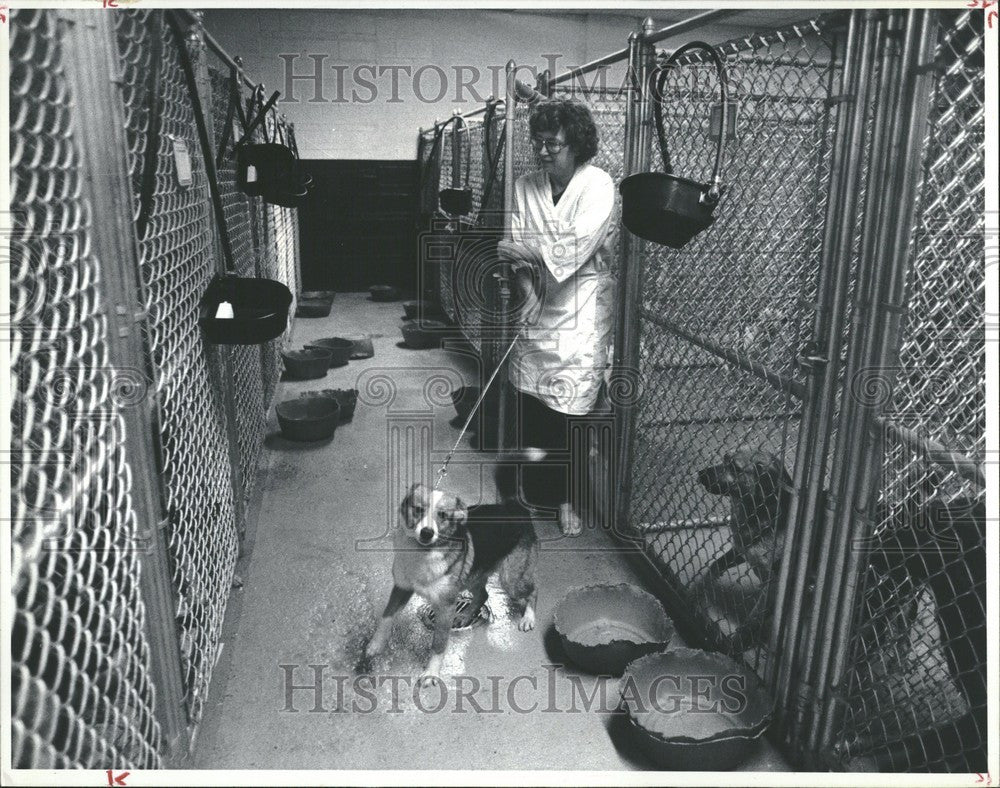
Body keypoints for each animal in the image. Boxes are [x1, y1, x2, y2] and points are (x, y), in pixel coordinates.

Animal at [364, 478, 540, 688]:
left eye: (443, 515)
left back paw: (528, 618)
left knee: (533, 591)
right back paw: (465, 616)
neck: (423, 553)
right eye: (418, 509)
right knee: (484, 594)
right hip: (472, 577)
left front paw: (431, 673)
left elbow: (439, 644)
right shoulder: (401, 589)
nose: (426, 533)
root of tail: (514, 508)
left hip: (511, 579)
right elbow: (386, 617)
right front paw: (375, 645)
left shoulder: (445, 607)